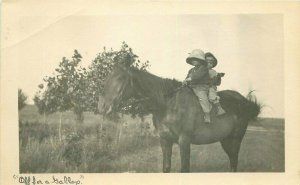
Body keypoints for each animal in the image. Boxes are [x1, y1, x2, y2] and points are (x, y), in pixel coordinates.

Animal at [98, 64, 260, 172]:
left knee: (234, 161)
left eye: (120, 78)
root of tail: (243, 101)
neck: (168, 103)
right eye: (107, 78)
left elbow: (185, 169)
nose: (102, 106)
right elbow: (166, 167)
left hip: (235, 139)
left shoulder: (184, 141)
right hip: (225, 140)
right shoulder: (165, 140)